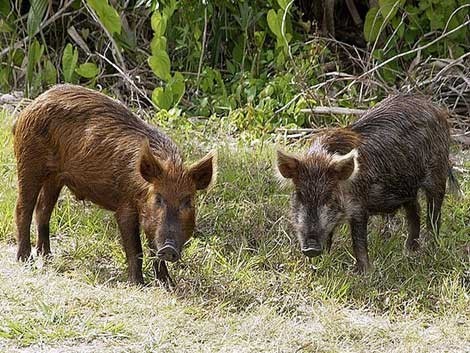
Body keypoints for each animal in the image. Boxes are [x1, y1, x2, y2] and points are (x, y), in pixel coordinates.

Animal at [12, 84, 215, 284]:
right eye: (158, 198)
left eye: (188, 201)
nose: (169, 248)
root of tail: (30, 107)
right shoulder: (125, 206)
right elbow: (135, 249)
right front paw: (137, 284)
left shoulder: (150, 219)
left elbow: (152, 248)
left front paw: (168, 285)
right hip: (29, 162)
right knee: (23, 208)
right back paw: (25, 259)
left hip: (55, 178)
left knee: (43, 210)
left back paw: (47, 256)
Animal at [276, 94, 458, 272]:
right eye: (299, 195)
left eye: (329, 197)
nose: (310, 249)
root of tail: (436, 109)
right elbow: (329, 235)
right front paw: (319, 264)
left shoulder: (359, 207)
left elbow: (358, 240)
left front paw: (363, 273)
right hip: (407, 188)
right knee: (415, 210)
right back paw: (409, 251)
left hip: (437, 174)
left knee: (433, 214)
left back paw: (430, 249)